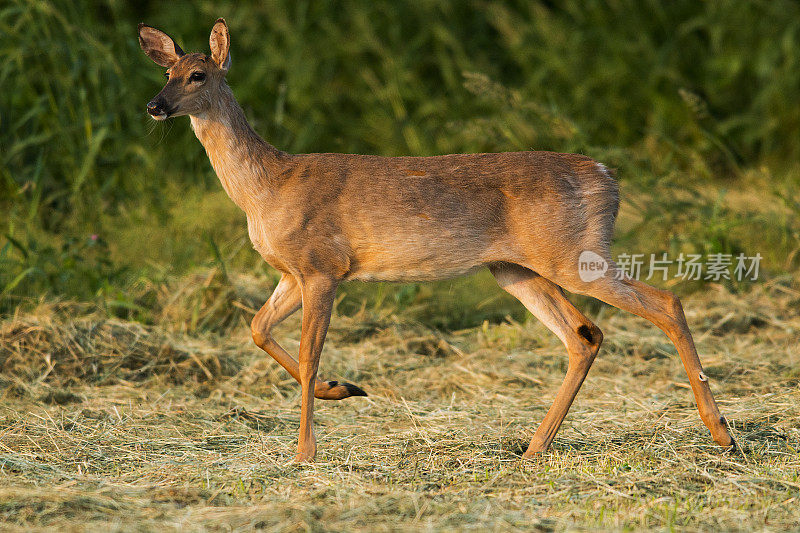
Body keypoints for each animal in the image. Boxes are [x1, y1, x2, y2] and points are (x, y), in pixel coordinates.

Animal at [139, 19, 736, 462]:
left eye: (197, 74)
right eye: (165, 70)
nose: (154, 105)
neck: (265, 186)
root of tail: (607, 176)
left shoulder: (323, 267)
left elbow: (308, 355)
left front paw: (305, 452)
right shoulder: (292, 272)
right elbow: (258, 328)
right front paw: (343, 389)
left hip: (574, 255)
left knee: (666, 302)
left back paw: (722, 432)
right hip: (517, 270)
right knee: (585, 335)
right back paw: (533, 449)